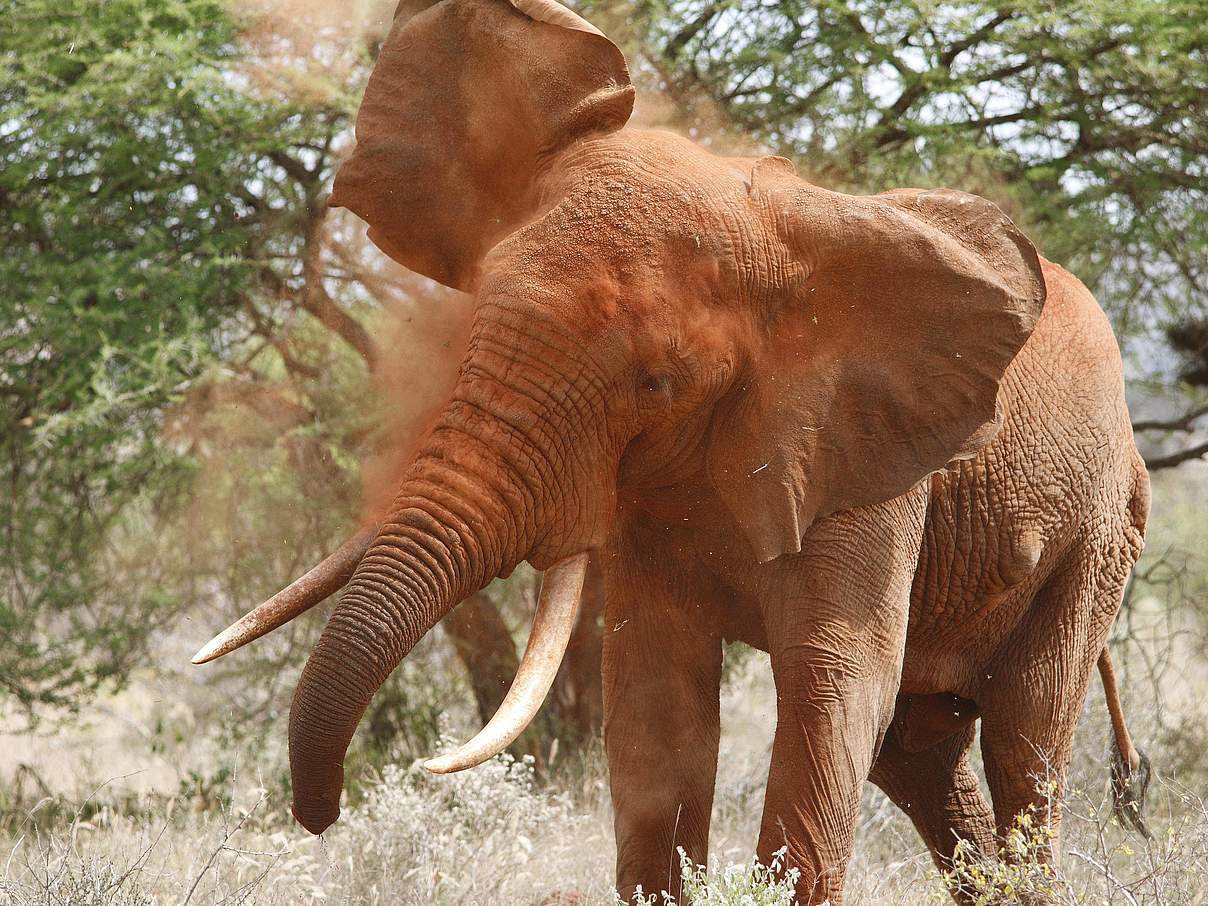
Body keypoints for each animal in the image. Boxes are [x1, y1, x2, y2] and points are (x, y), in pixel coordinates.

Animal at [190, 3, 1150, 903]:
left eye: (656, 382)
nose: (320, 817)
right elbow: (656, 694)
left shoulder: (866, 457)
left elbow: (832, 678)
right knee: (918, 755)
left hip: (1103, 533)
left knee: (1024, 734)